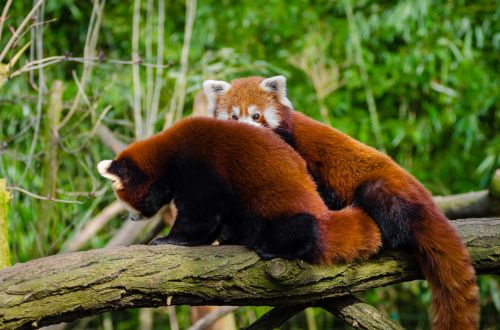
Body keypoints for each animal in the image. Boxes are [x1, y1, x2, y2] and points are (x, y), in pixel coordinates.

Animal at [97, 117, 380, 264]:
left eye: (125, 202)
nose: (132, 218)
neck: (167, 153)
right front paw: (224, 237)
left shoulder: (199, 166)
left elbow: (200, 214)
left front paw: (170, 239)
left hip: (279, 203)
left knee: (296, 226)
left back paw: (276, 247)